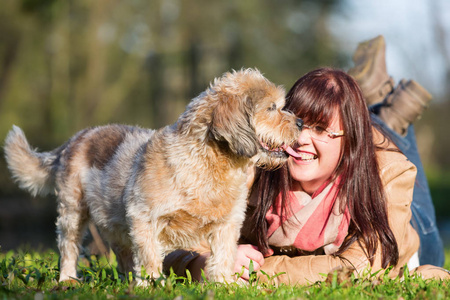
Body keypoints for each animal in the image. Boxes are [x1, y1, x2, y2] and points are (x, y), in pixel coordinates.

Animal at [3, 68, 302, 284]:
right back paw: (68, 280)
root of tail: (75, 139)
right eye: (272, 108)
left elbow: (224, 258)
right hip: (73, 213)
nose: (300, 122)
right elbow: (148, 259)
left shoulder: (226, 225)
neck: (208, 164)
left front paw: (224, 286)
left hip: (116, 228)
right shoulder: (144, 219)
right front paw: (152, 286)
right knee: (69, 248)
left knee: (123, 256)